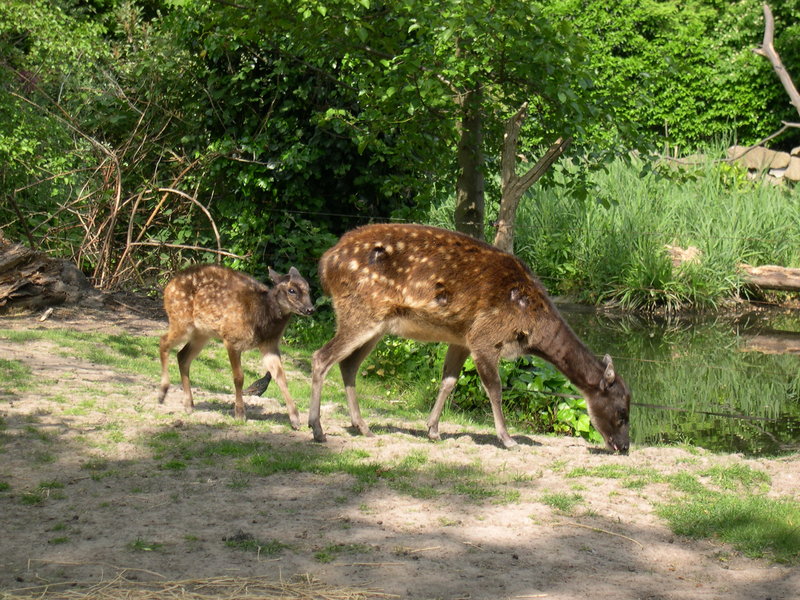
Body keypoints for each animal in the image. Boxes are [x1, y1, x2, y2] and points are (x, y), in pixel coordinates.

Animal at [158, 264, 314, 426]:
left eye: (309, 289)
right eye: (291, 290)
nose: (310, 309)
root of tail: (168, 286)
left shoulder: (269, 344)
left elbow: (281, 377)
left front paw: (295, 419)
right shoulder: (232, 339)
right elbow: (238, 377)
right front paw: (240, 414)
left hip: (202, 333)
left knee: (182, 356)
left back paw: (188, 405)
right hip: (181, 320)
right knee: (163, 342)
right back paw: (162, 394)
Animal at [312, 223, 632, 452]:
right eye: (622, 412)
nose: (624, 447)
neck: (532, 326)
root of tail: (325, 263)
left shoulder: (461, 338)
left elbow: (448, 381)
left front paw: (433, 430)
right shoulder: (485, 335)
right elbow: (495, 388)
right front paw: (507, 438)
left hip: (376, 324)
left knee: (348, 365)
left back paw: (362, 426)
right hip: (361, 312)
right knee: (321, 357)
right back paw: (317, 429)